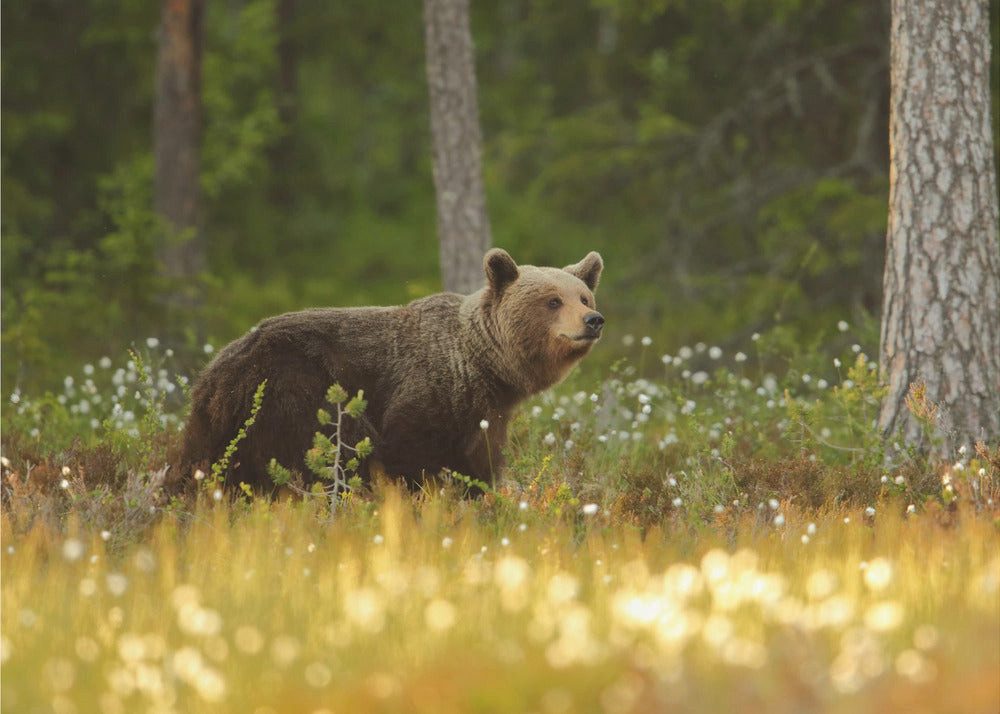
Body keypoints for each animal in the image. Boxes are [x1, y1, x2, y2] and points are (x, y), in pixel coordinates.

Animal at [179, 248, 605, 491]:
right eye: (553, 301)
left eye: (584, 296)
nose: (593, 320)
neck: (483, 366)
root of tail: (216, 368)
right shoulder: (425, 393)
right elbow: (409, 455)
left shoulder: (483, 413)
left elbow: (478, 462)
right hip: (293, 391)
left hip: (220, 423)